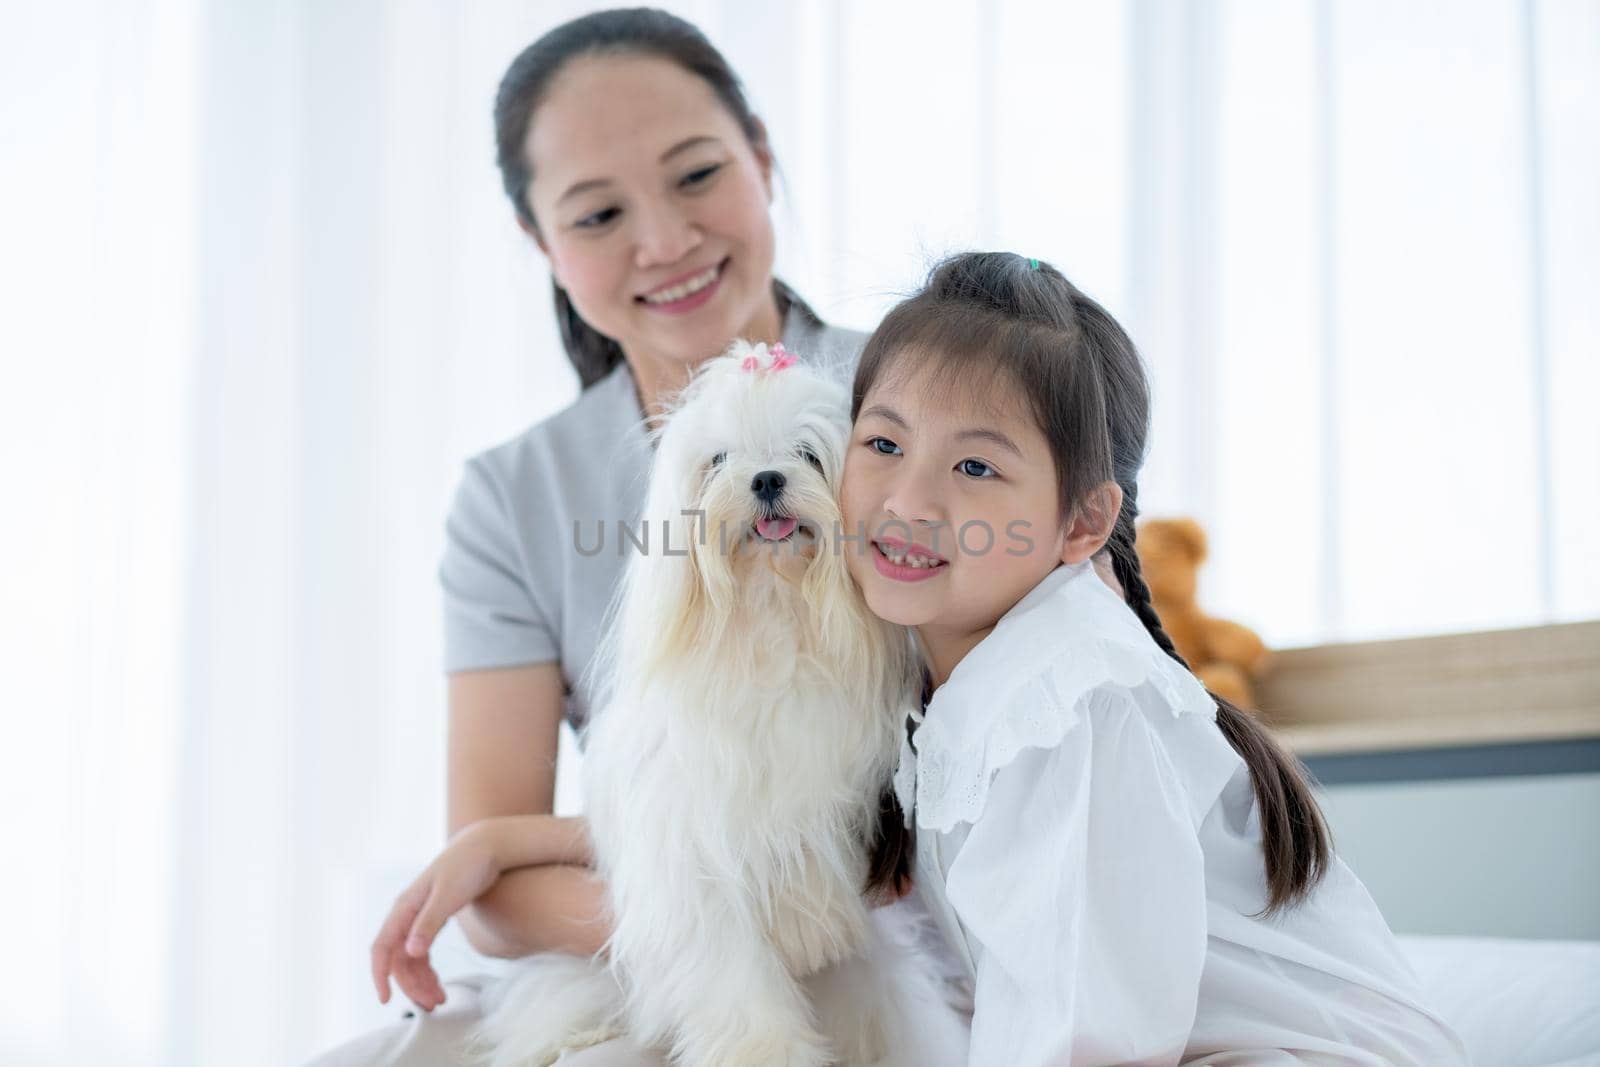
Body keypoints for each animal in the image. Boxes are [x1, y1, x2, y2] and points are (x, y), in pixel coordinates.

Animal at [464, 342, 960, 1067]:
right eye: (720, 461)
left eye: (807, 454)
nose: (767, 479)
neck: (773, 618)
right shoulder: (690, 858)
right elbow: (733, 974)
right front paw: (768, 1052)